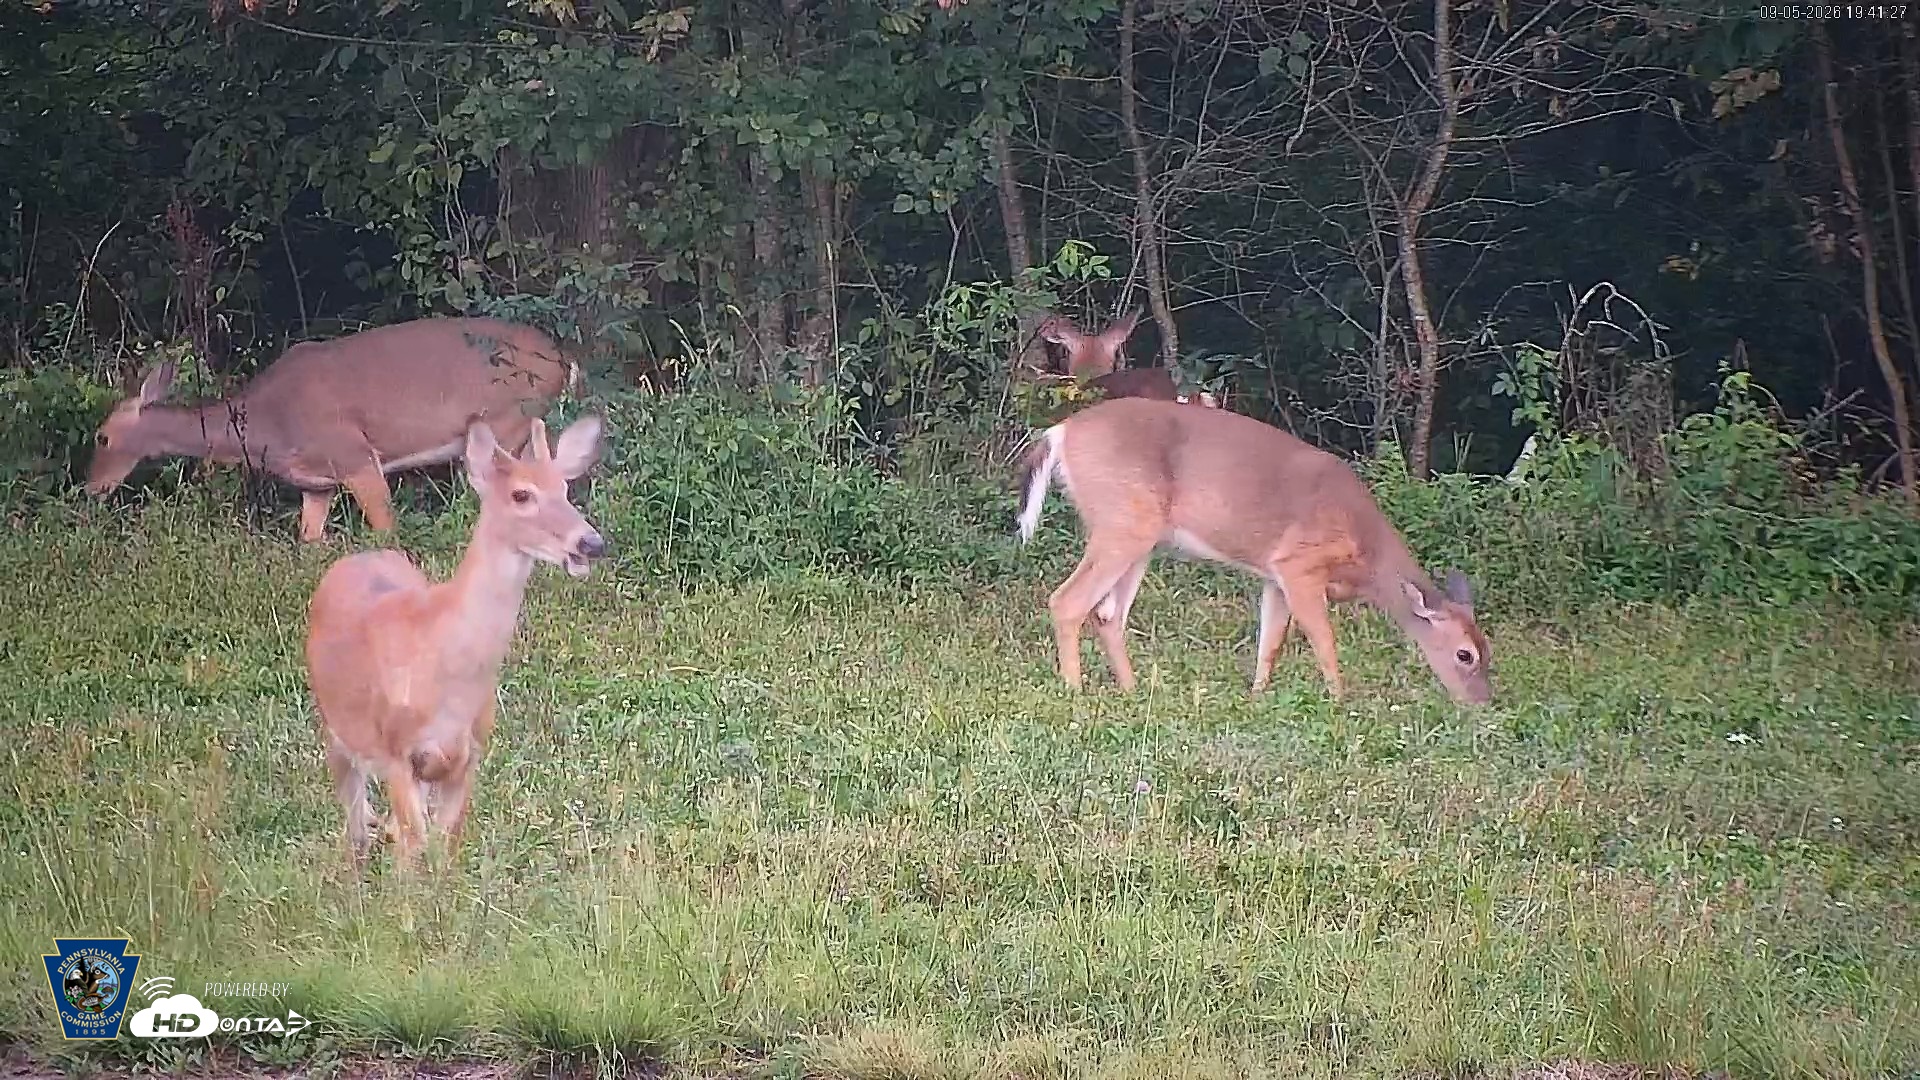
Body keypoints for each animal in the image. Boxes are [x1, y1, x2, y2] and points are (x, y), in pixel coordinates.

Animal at [86, 317, 574, 543]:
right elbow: (310, 537)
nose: (90, 488)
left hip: (505, 420)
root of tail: (562, 360)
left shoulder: (355, 454)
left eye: (101, 436)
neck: (266, 427)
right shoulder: (316, 484)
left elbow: (386, 529)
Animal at [303, 413, 607, 874]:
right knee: (356, 831)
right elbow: (412, 852)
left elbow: (445, 848)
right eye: (521, 494)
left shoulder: (467, 758)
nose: (590, 543)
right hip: (336, 731)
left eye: (565, 489)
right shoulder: (396, 752)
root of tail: (355, 559)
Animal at [1015, 397, 1491, 705]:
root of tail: (1060, 432)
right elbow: (1323, 639)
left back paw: (1134, 691)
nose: (1482, 702)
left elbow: (1271, 641)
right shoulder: (1300, 564)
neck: (1365, 557)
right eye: (1464, 654)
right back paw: (1075, 692)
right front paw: (1340, 702)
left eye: (1489, 650)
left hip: (1139, 535)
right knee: (1068, 601)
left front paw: (1257, 696)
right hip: (1122, 522)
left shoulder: (1274, 576)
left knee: (1108, 613)